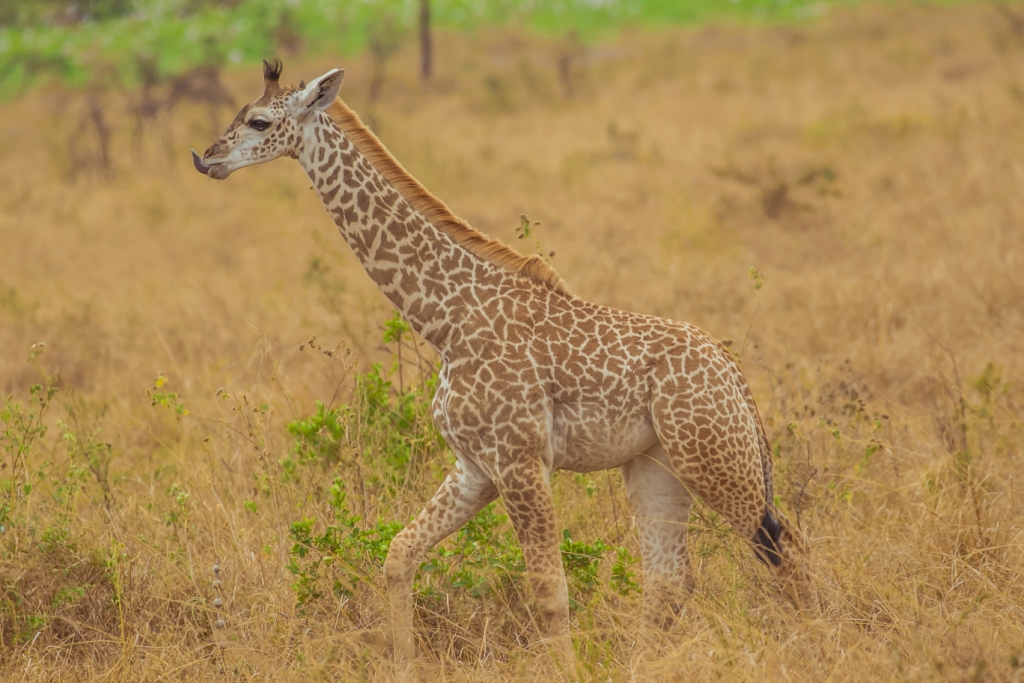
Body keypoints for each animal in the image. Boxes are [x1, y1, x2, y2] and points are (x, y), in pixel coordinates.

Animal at [192, 61, 815, 675]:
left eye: (259, 120)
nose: (207, 159)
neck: (447, 321)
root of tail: (735, 375)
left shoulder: (519, 460)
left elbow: (549, 589)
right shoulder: (476, 466)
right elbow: (398, 554)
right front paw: (404, 666)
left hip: (713, 460)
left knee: (788, 549)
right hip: (656, 467)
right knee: (669, 579)